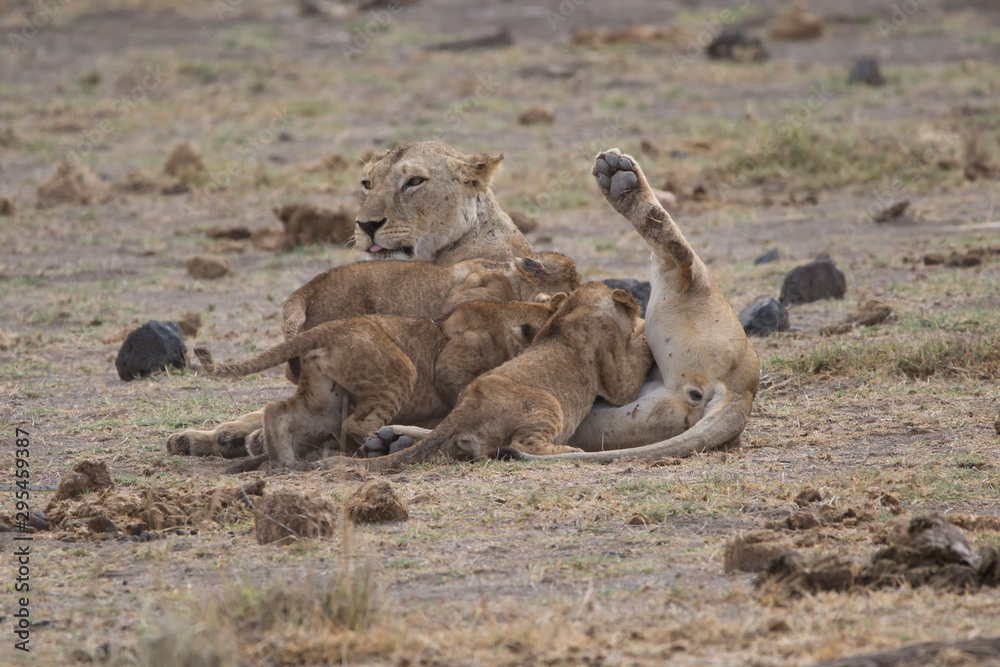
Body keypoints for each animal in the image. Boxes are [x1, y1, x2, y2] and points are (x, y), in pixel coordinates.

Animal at [193, 300, 559, 469]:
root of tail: (328, 329)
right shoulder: (450, 364)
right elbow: (458, 401)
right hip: (401, 371)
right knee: (355, 423)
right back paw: (376, 443)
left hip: (323, 399)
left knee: (276, 409)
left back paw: (286, 461)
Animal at [343, 283, 653, 472]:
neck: (578, 307)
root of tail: (467, 407)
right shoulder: (618, 377)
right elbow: (634, 366)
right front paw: (644, 332)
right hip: (548, 404)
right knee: (521, 446)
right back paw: (569, 450)